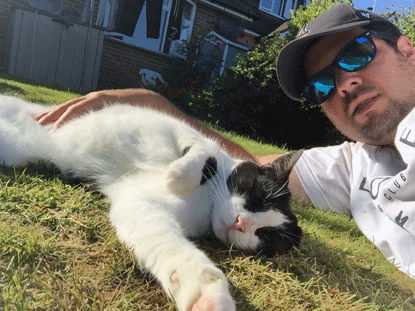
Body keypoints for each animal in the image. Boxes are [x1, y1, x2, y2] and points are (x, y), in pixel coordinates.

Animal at [0, 95, 306, 311]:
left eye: (267, 236)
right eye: (256, 196)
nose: (242, 223)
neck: (207, 202)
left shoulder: (137, 202)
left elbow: (170, 247)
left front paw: (204, 295)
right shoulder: (188, 134)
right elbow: (203, 153)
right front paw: (178, 174)